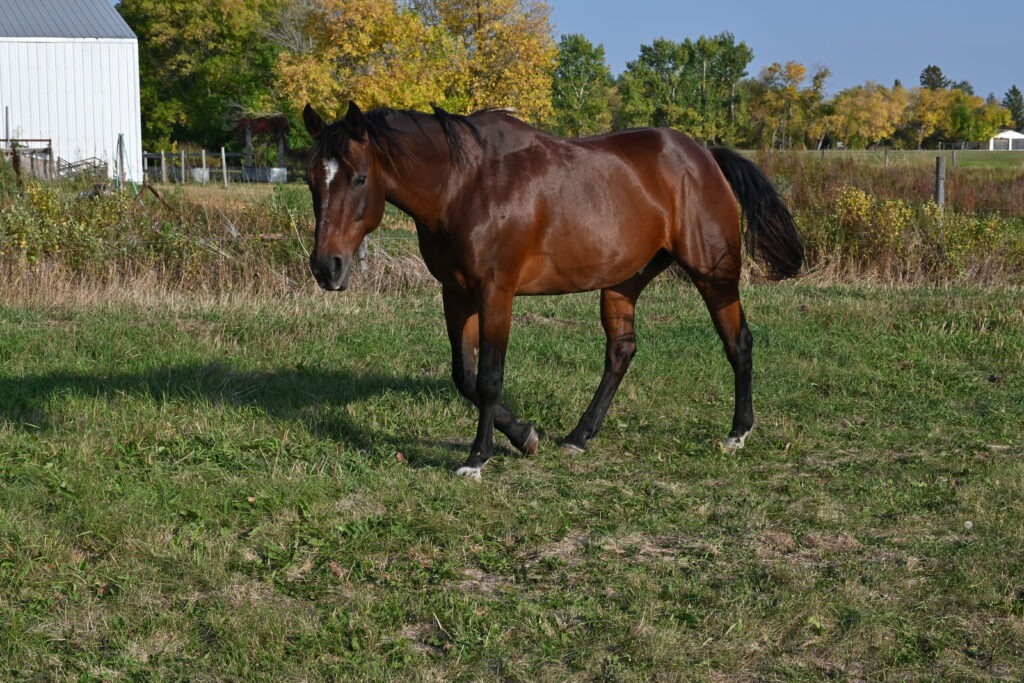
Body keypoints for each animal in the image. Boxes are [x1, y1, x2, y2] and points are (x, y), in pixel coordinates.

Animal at [302, 101, 803, 479]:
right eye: (311, 180)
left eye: (359, 177)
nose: (327, 267)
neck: (465, 186)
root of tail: (704, 155)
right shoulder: (456, 294)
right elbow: (464, 376)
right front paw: (525, 436)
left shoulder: (496, 293)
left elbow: (488, 378)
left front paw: (478, 458)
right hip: (623, 282)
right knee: (621, 352)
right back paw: (580, 436)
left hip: (713, 275)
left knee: (738, 343)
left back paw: (737, 433)